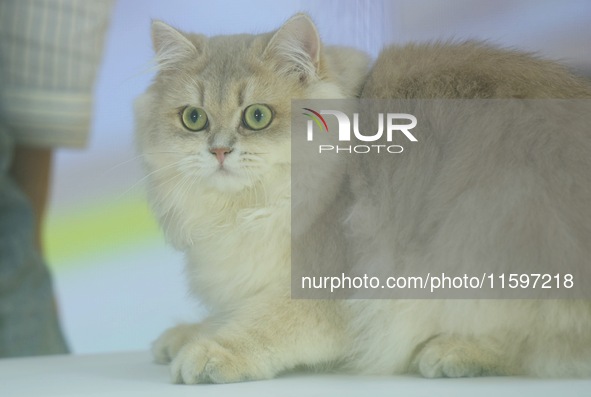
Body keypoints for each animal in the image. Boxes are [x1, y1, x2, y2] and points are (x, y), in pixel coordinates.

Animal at [136, 13, 591, 382]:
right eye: (194, 119)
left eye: (257, 116)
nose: (218, 151)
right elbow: (230, 314)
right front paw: (184, 334)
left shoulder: (330, 293)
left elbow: (263, 325)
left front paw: (209, 351)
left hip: (486, 223)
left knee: (541, 348)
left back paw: (454, 352)